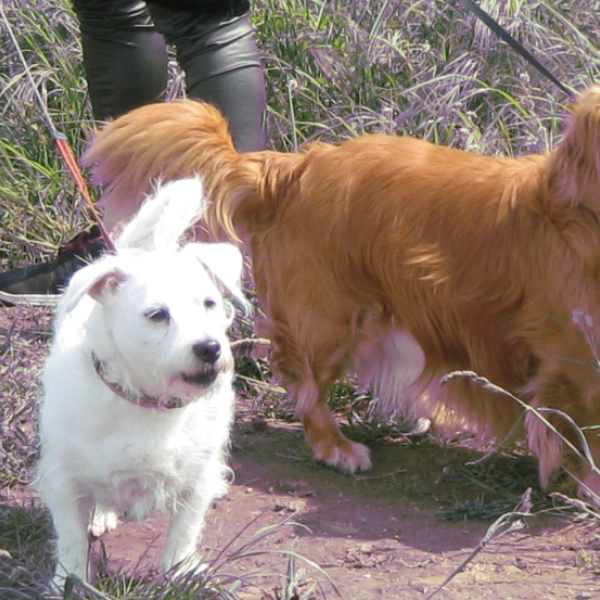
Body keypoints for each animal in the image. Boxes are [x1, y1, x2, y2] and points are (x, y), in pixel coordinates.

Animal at [36, 176, 247, 588]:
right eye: (156, 315)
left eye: (210, 304)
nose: (209, 348)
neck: (147, 401)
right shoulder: (66, 479)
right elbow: (70, 538)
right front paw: (69, 582)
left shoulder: (198, 478)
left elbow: (184, 531)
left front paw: (181, 574)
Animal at [82, 86, 600, 494]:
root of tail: (291, 168)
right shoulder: (575, 363)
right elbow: (587, 431)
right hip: (332, 320)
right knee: (303, 381)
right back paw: (334, 446)